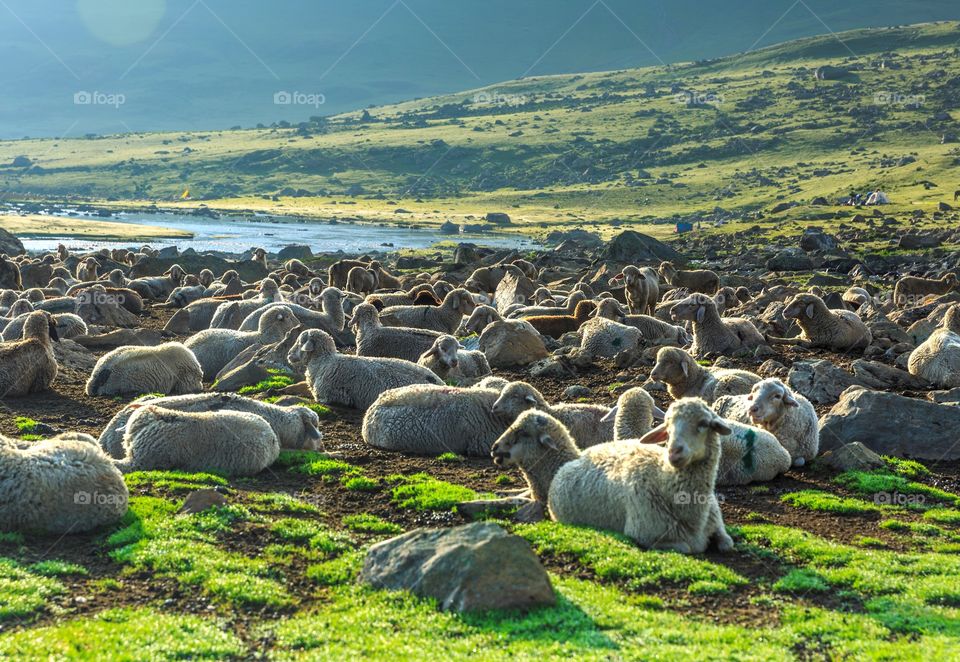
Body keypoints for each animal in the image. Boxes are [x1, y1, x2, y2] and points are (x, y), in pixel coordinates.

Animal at [544, 402, 732, 552]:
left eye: (704, 423)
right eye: (667, 426)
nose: (674, 451)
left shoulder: (717, 522)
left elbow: (727, 544)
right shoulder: (645, 536)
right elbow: (686, 547)